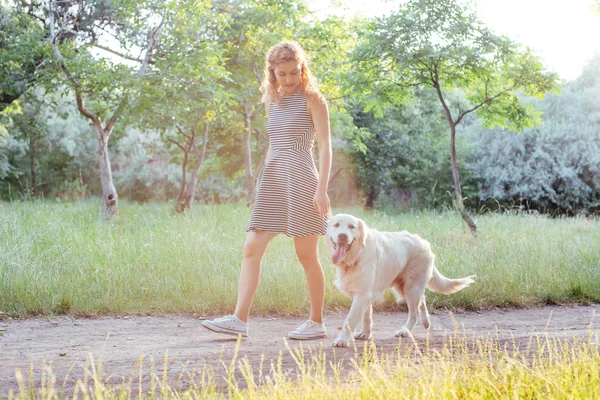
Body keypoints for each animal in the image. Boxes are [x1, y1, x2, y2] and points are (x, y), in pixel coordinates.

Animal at [328, 212, 474, 346]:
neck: (356, 255)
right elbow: (366, 317)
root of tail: (424, 243)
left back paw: (405, 331)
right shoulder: (365, 292)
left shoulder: (362, 294)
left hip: (411, 288)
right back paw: (426, 322)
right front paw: (365, 334)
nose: (342, 236)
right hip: (404, 287)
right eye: (336, 225)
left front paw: (342, 340)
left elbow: (349, 320)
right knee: (422, 300)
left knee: (414, 313)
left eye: (351, 226)